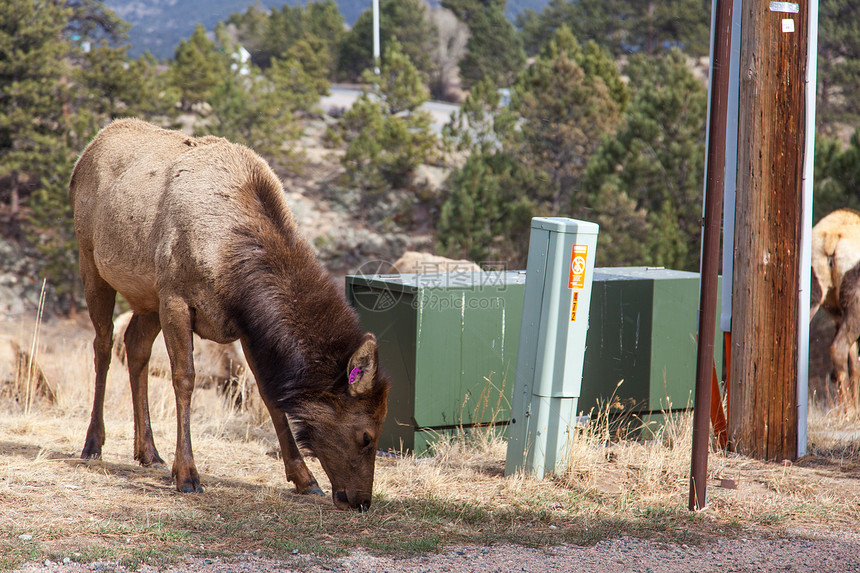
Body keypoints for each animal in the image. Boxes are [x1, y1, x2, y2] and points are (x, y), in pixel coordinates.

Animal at [69, 117, 392, 510]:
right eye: (366, 436)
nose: (362, 501)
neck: (231, 264)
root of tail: (91, 146)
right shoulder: (176, 297)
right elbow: (185, 379)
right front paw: (187, 474)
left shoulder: (246, 325)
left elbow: (269, 395)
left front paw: (304, 478)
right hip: (92, 261)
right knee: (102, 345)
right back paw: (93, 444)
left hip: (147, 295)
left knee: (135, 346)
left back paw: (148, 451)